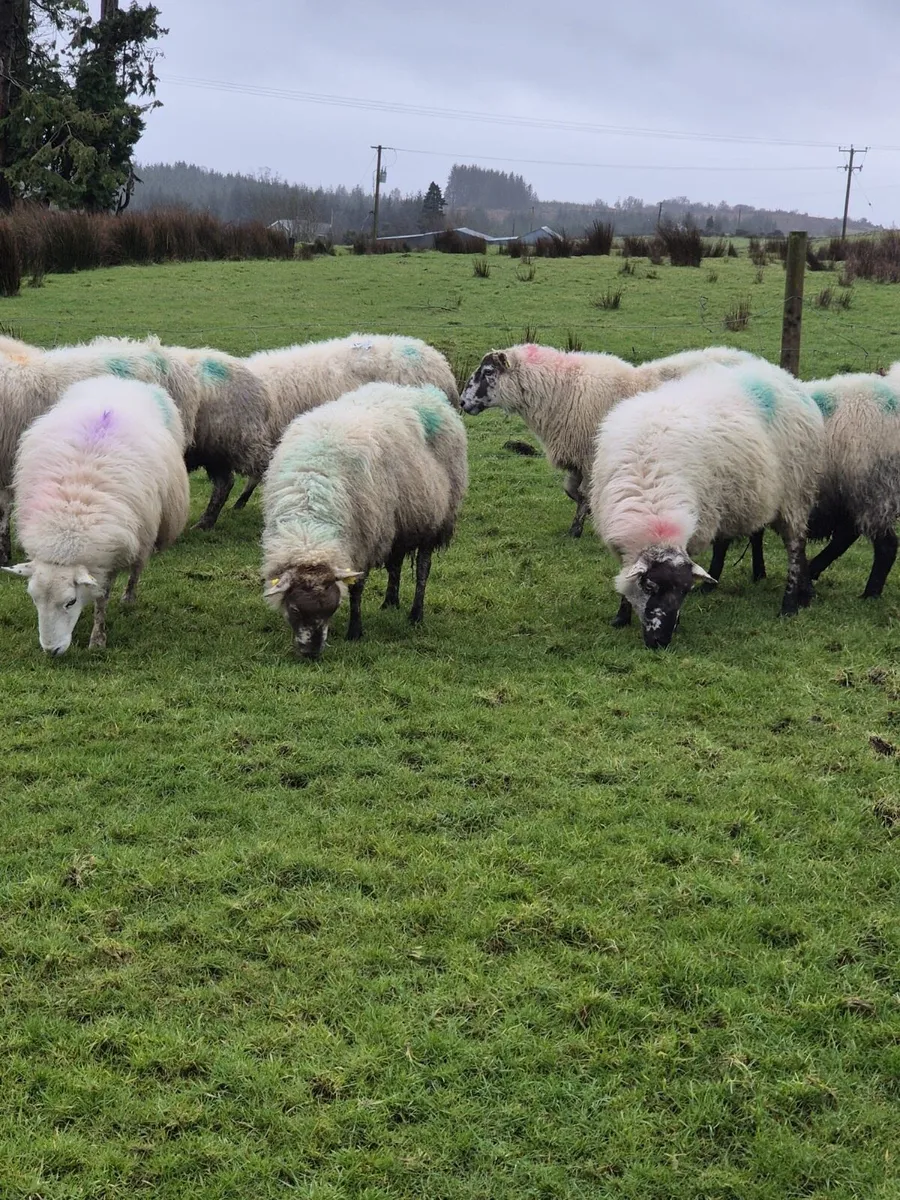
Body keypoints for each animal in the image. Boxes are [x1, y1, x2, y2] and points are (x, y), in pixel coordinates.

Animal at [2, 377, 189, 654]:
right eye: (34, 599)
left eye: (70, 602)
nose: (51, 650)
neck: (69, 524)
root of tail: (122, 381)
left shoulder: (113, 551)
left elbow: (102, 597)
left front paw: (97, 639)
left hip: (148, 527)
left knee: (138, 566)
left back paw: (129, 597)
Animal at [262, 381, 467, 660]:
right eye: (294, 610)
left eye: (331, 609)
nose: (312, 653)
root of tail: (423, 391)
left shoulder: (363, 541)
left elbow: (356, 589)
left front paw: (355, 632)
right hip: (396, 520)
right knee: (396, 563)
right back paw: (390, 602)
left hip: (433, 518)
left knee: (423, 568)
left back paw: (415, 614)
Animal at [459, 343, 758, 538]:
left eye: (488, 372)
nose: (462, 402)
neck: (561, 392)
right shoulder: (578, 458)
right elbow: (572, 490)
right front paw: (588, 515)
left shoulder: (590, 456)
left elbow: (583, 494)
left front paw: (578, 528)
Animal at [590, 359, 824, 648]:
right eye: (650, 586)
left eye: (684, 591)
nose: (660, 642)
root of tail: (786, 378)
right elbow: (625, 576)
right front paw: (621, 617)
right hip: (750, 494)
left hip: (795, 493)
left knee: (795, 546)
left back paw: (790, 603)